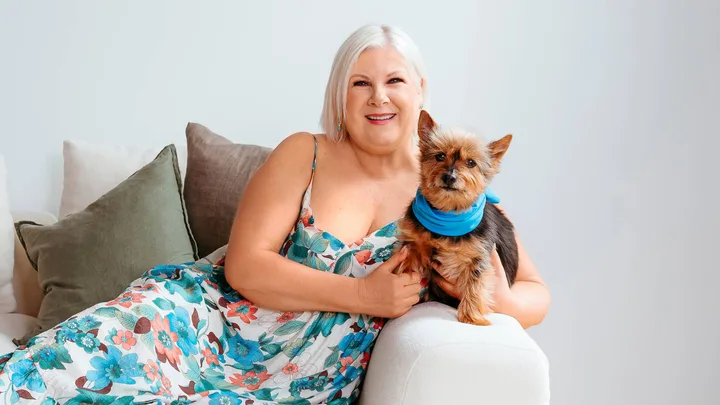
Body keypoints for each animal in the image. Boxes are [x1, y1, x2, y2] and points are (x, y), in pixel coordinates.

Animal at [396, 110, 520, 326]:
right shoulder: (414, 241)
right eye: (440, 156)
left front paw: (471, 317)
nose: (449, 177)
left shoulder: (478, 257)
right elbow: (410, 258)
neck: (447, 213)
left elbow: (475, 283)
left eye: (471, 163)